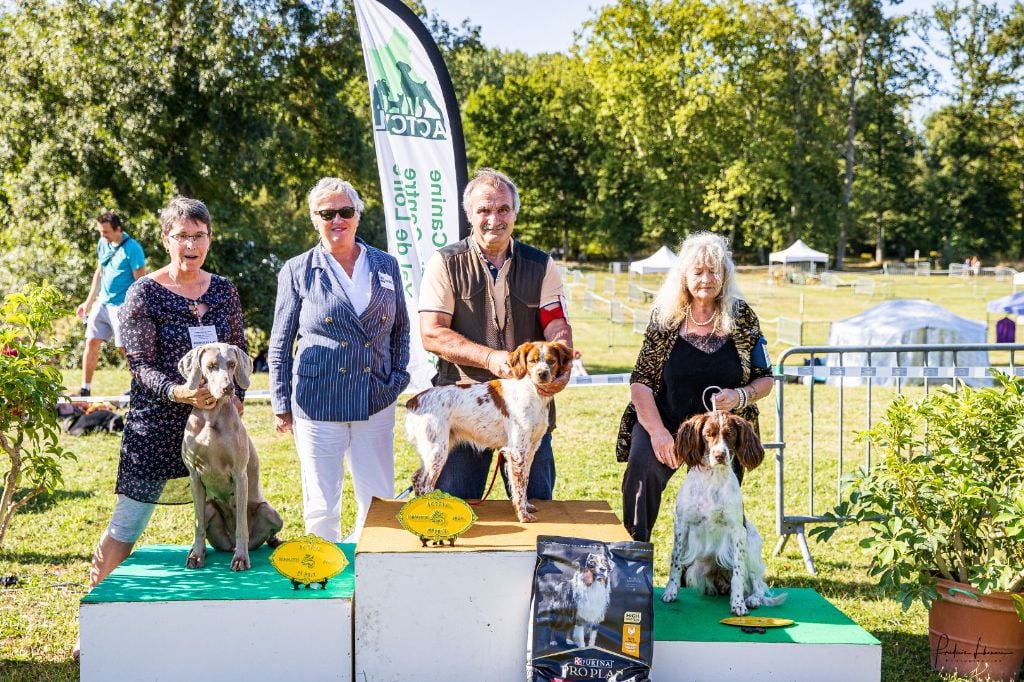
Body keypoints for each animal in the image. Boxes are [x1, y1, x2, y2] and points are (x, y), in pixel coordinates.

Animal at [179, 339, 282, 569]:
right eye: (210, 366)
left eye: (232, 364)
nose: (228, 388)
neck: (212, 418)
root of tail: (228, 545)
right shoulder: (194, 477)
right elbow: (198, 526)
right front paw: (196, 555)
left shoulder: (239, 475)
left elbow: (241, 526)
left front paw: (241, 559)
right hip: (209, 507)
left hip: (270, 511)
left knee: (266, 530)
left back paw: (273, 543)